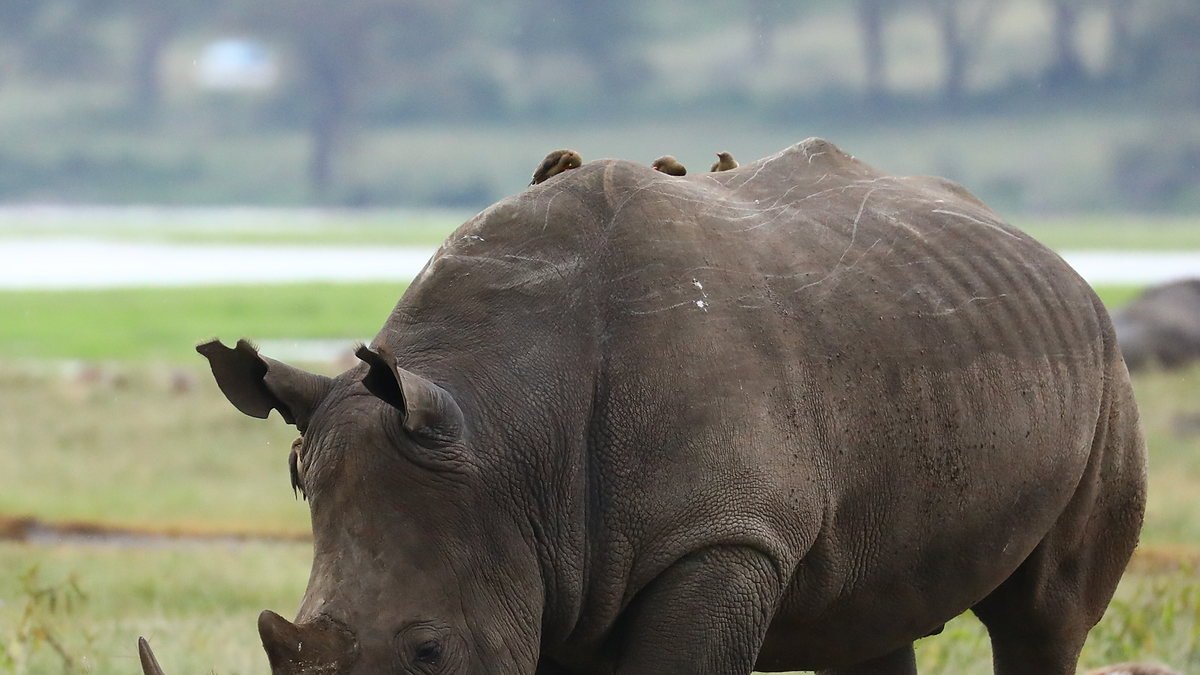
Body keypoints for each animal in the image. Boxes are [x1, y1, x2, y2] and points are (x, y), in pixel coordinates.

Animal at [143, 139, 1146, 674]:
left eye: (428, 652)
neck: (505, 428)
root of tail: (1048, 252)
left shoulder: (727, 533)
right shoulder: (540, 560)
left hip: (1106, 373)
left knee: (1044, 617)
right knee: (873, 617)